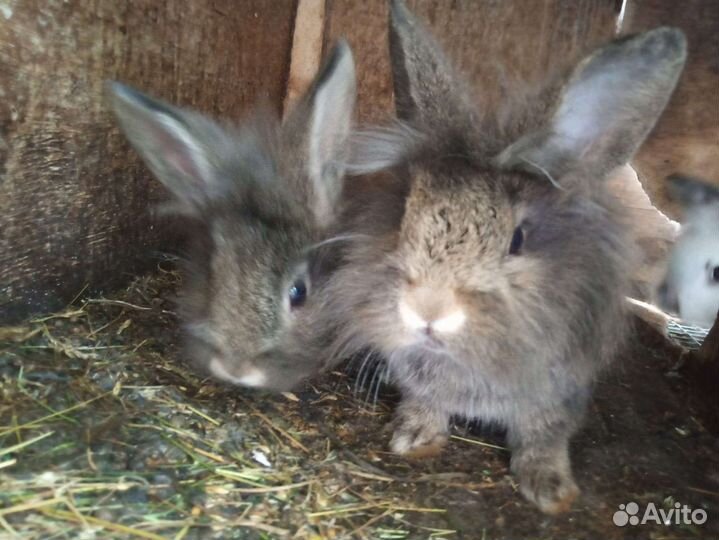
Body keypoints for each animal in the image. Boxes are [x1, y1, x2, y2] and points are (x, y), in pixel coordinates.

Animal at [321, 0, 687, 514]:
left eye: (518, 239)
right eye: (405, 213)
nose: (428, 309)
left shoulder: (557, 395)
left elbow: (542, 438)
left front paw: (551, 491)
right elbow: (425, 403)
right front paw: (414, 439)